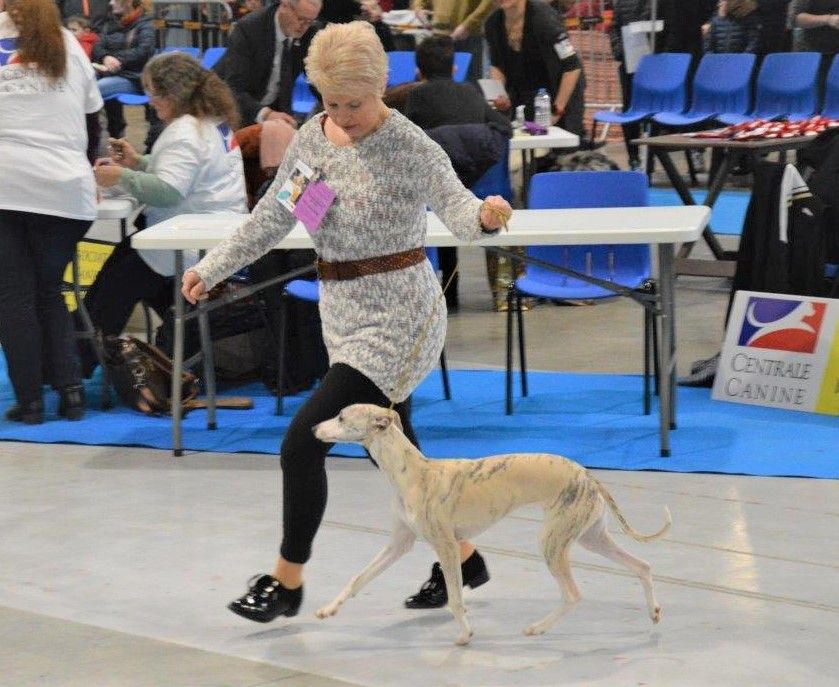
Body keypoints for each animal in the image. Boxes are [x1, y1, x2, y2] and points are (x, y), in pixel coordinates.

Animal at [312, 404, 672, 644]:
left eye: (341, 417)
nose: (313, 429)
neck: (413, 473)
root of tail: (589, 476)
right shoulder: (399, 543)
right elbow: (359, 577)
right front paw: (328, 609)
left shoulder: (445, 544)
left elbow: (456, 599)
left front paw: (465, 634)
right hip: (591, 538)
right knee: (642, 566)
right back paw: (654, 611)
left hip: (553, 542)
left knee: (573, 594)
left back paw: (538, 627)